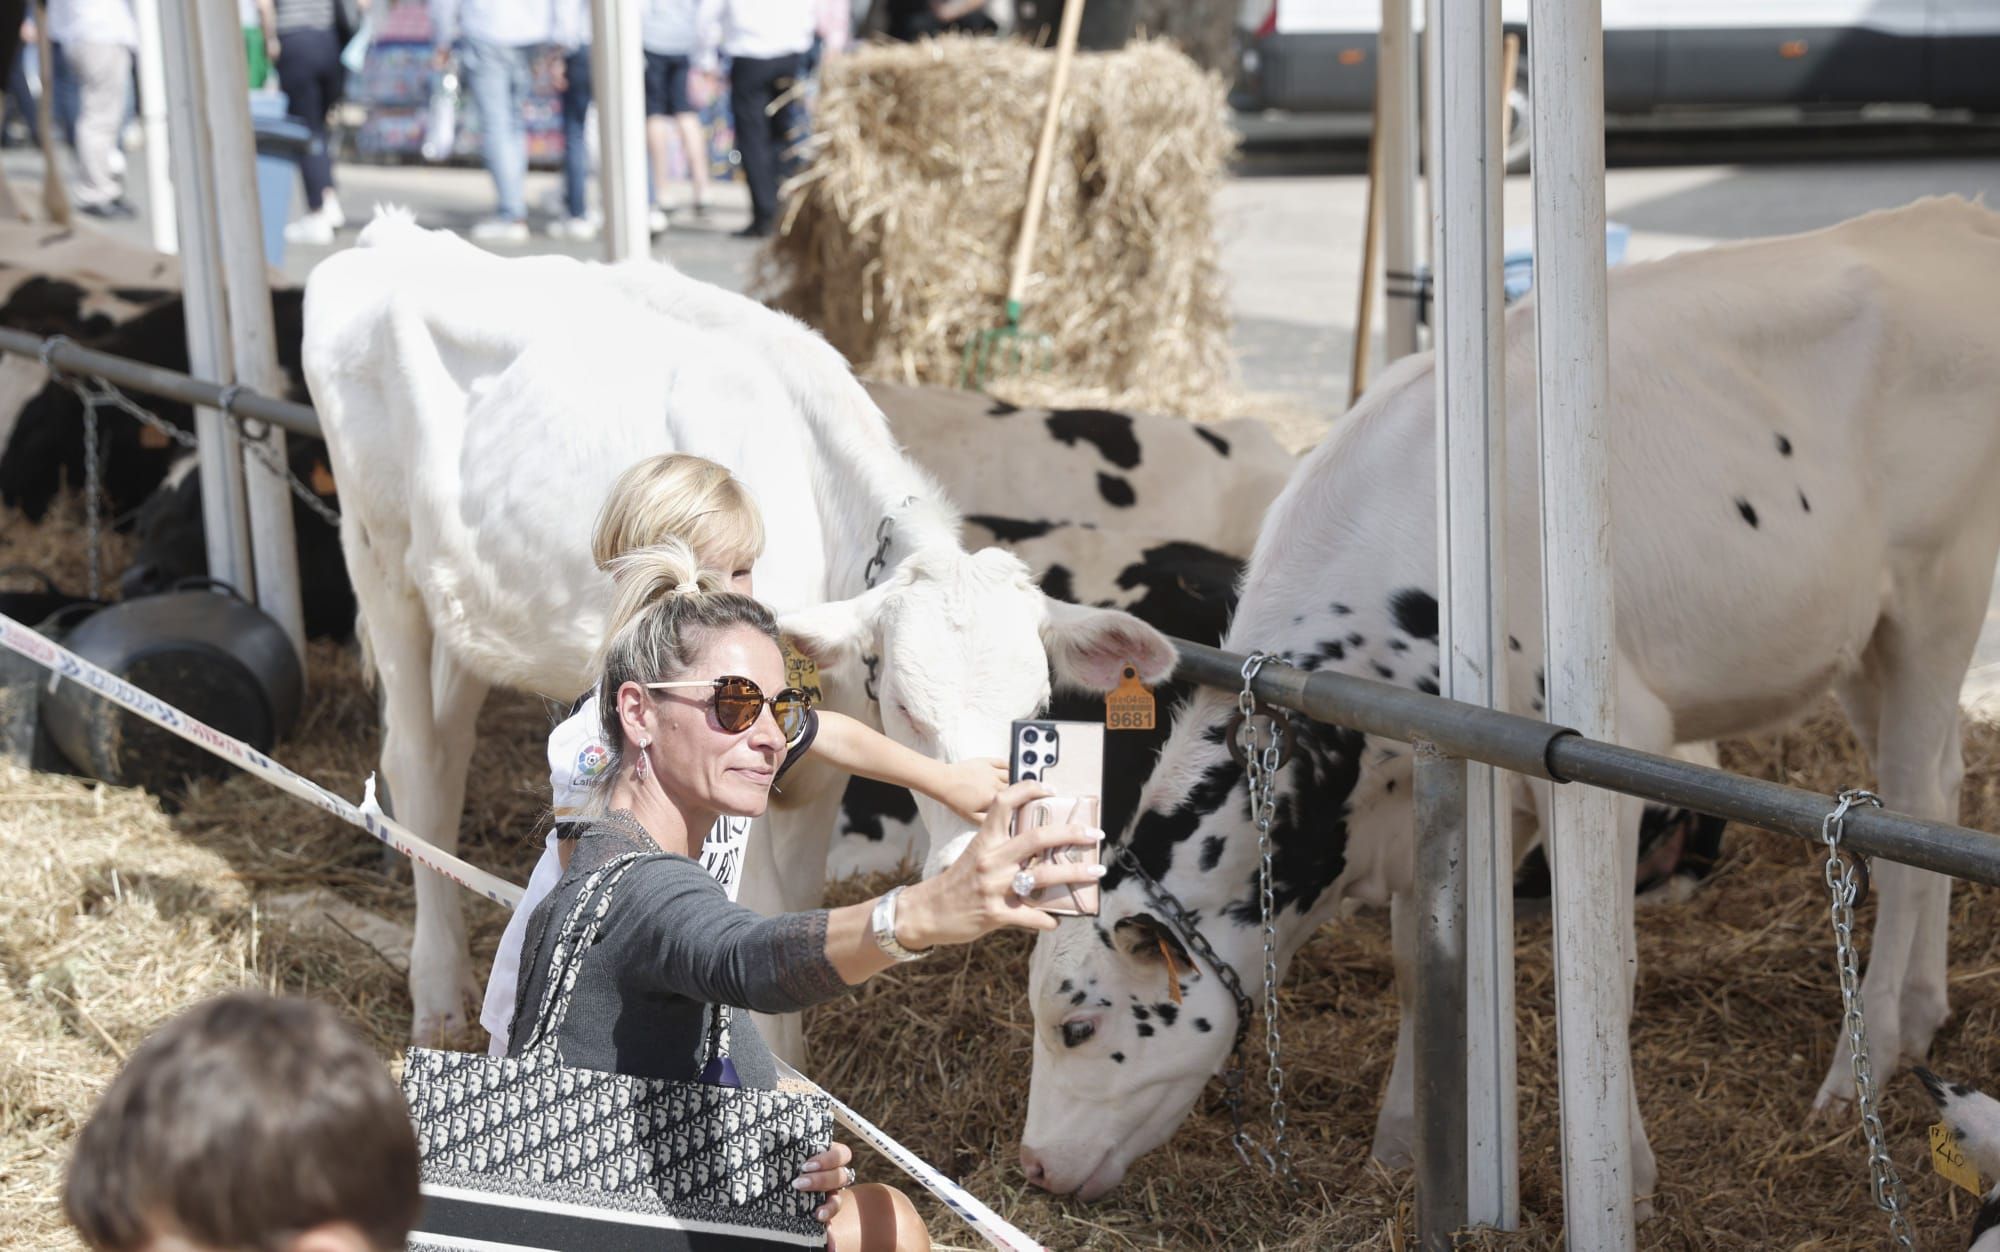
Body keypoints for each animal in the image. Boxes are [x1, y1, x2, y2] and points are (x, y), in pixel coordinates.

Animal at [294, 214, 1168, 1040]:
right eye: (909, 709)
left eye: (1039, 707)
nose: (988, 859)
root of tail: (392, 235)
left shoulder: (819, 763)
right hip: (382, 566)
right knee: (416, 765)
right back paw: (438, 997)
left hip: (467, 614)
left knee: (447, 754)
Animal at [1016, 200, 2000, 1208]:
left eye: (1078, 1025)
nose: (1033, 1165)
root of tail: (1943, 217)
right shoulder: (1441, 777)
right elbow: (1426, 964)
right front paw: (1403, 1148)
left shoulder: (1607, 749)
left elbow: (1602, 970)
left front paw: (1627, 1177)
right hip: (1863, 640)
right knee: (1939, 783)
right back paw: (1924, 1012)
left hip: (1939, 592)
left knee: (1910, 803)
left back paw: (1861, 1062)